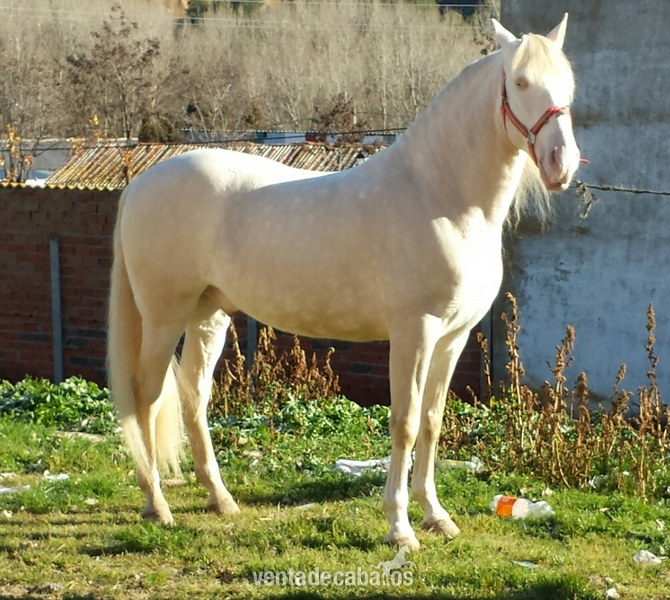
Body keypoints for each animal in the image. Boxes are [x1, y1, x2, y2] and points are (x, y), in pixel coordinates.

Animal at [107, 15, 580, 549]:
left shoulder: (451, 338)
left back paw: (220, 499)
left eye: (568, 85)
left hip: (208, 315)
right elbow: (405, 423)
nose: (561, 163)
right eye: (519, 82)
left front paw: (436, 516)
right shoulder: (415, 332)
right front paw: (399, 528)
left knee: (194, 398)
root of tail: (139, 185)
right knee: (146, 397)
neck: (440, 195)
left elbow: (433, 422)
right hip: (163, 317)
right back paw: (157, 505)